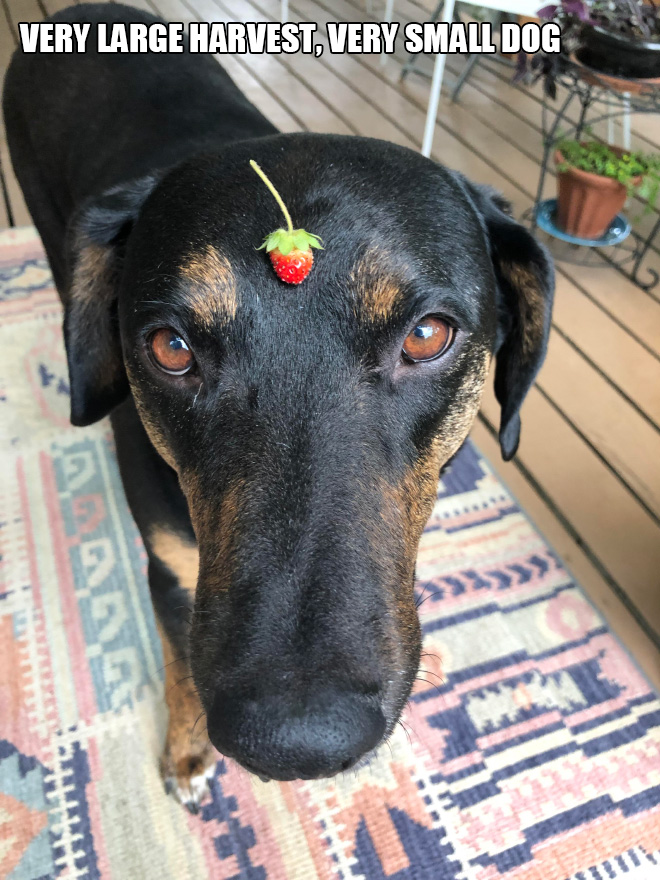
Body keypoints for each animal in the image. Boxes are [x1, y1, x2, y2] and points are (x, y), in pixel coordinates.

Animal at [3, 1, 552, 812]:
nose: (298, 742)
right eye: (171, 348)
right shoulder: (171, 572)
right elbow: (179, 670)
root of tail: (78, 13)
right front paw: (186, 752)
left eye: (427, 335)